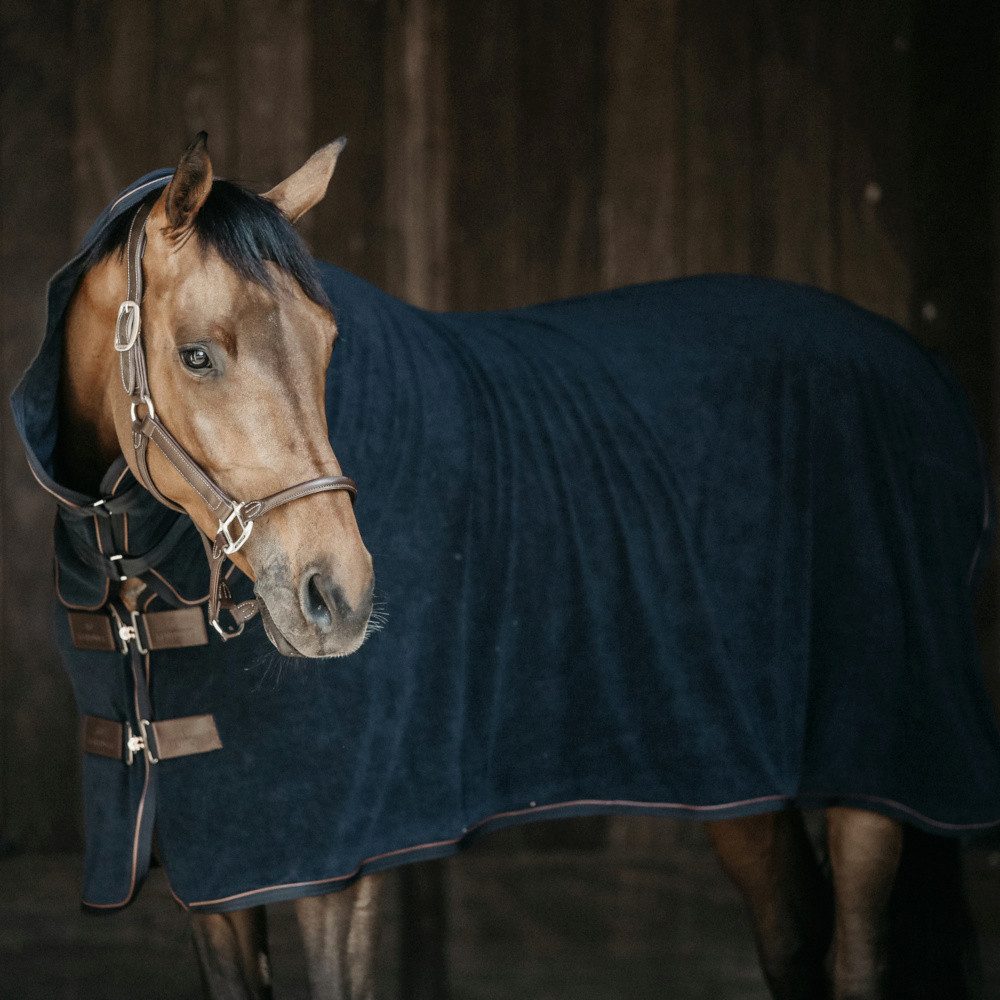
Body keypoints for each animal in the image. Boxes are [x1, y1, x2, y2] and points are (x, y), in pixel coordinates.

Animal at [12, 133, 1000, 1000]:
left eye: (329, 342)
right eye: (196, 354)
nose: (338, 595)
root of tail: (927, 377)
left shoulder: (341, 863)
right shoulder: (217, 882)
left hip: (879, 771)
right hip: (740, 774)